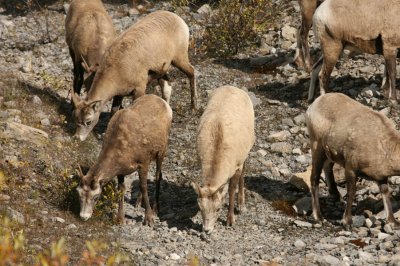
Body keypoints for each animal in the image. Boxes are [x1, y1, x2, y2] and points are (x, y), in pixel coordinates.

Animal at [72, 9, 197, 141]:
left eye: (88, 121)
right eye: (76, 119)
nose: (77, 137)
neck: (118, 68)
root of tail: (178, 19)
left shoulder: (139, 89)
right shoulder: (119, 95)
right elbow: (114, 112)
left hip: (179, 59)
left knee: (191, 72)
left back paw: (193, 107)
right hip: (163, 70)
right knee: (166, 87)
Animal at [76, 94, 172, 225]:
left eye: (96, 197)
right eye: (78, 194)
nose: (83, 217)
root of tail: (163, 102)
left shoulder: (143, 162)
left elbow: (144, 186)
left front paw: (149, 219)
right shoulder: (121, 171)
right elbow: (121, 189)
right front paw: (120, 218)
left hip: (162, 151)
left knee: (158, 176)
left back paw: (156, 209)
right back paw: (137, 203)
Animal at [192, 85, 255, 233]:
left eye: (218, 209)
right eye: (200, 209)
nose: (206, 230)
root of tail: (233, 87)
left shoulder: (236, 166)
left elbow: (231, 190)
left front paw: (230, 220)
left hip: (246, 153)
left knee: (244, 172)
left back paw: (241, 206)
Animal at [306, 92, 400, 229]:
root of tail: (316, 103)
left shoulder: (381, 177)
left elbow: (385, 192)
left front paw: (393, 222)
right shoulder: (351, 168)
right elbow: (351, 192)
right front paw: (347, 222)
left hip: (329, 153)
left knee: (327, 166)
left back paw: (335, 195)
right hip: (317, 146)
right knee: (314, 178)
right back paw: (319, 218)